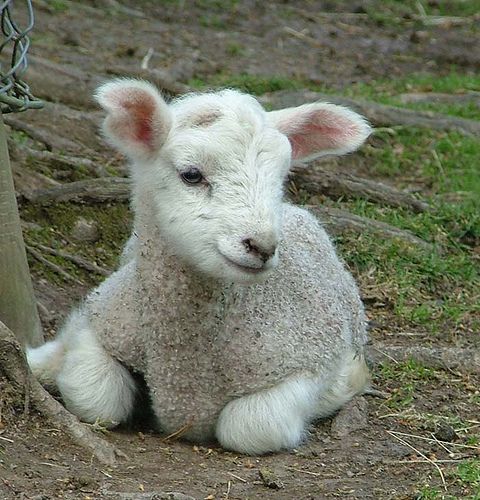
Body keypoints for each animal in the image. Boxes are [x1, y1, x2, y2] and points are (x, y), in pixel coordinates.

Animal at [27, 79, 372, 458]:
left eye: (281, 178)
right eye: (191, 175)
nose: (262, 246)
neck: (183, 361)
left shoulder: (307, 361)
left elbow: (250, 426)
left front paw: (350, 379)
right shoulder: (105, 318)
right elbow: (95, 396)